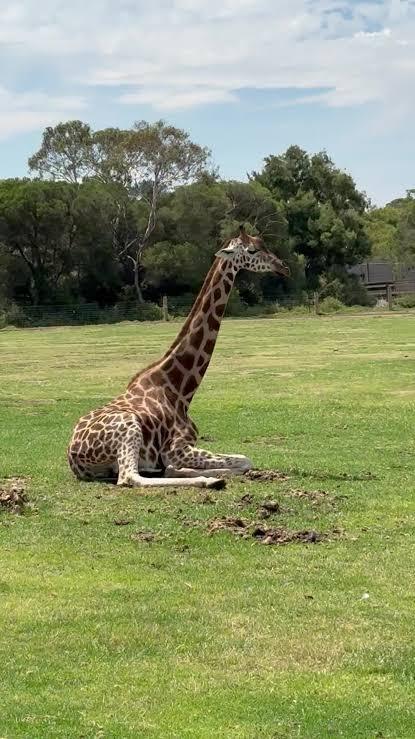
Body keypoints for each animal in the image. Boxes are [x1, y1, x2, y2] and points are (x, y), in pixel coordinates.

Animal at [68, 226, 289, 490]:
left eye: (264, 244)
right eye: (252, 250)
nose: (283, 267)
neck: (180, 391)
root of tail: (73, 457)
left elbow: (241, 461)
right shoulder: (176, 448)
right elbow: (245, 459)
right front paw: (209, 475)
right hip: (129, 427)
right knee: (129, 477)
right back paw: (209, 480)